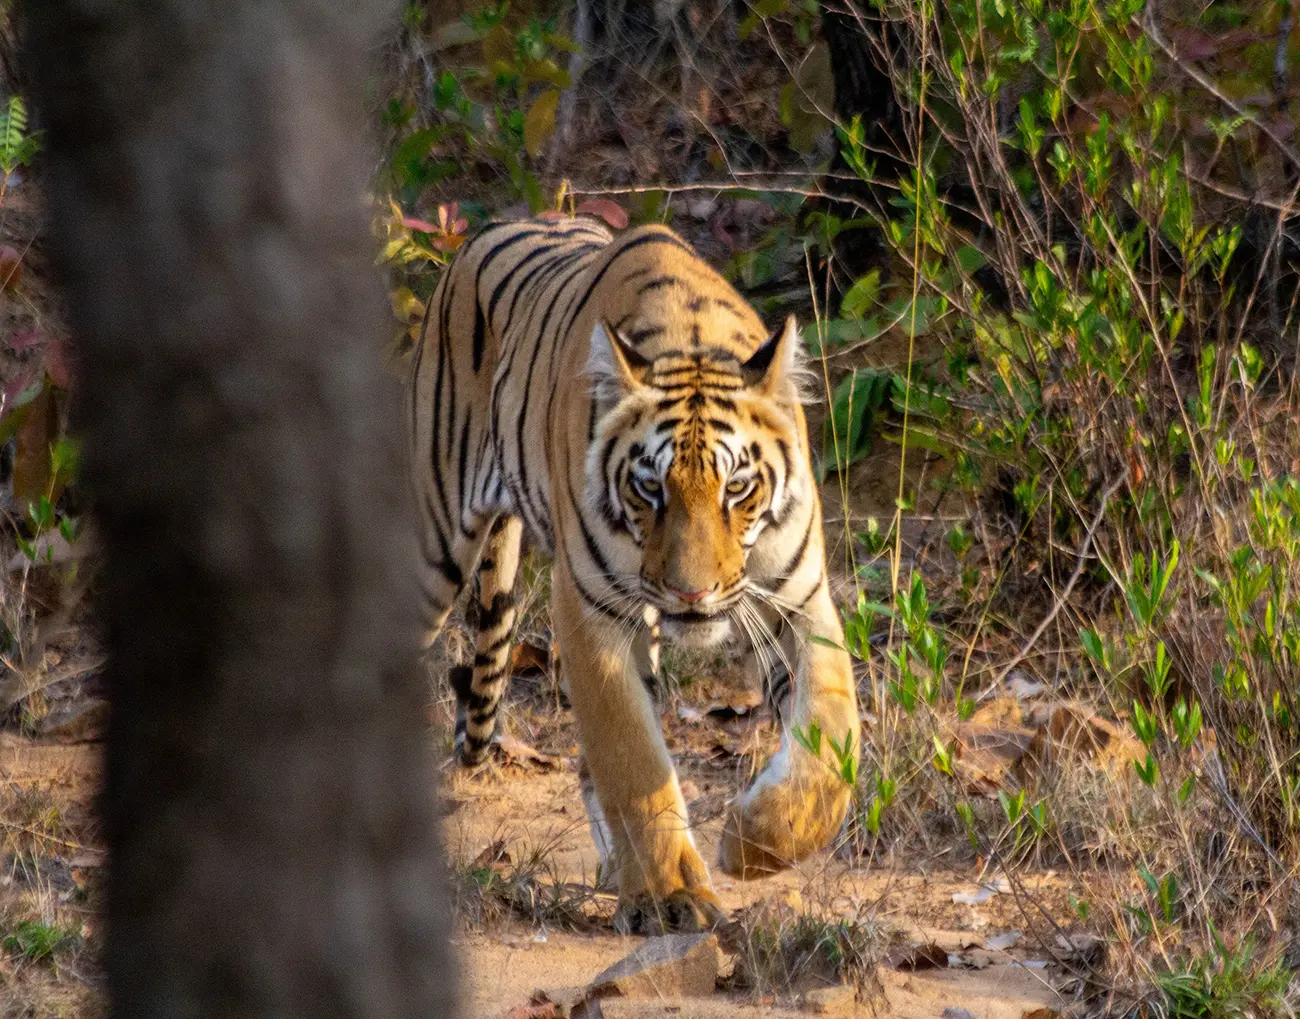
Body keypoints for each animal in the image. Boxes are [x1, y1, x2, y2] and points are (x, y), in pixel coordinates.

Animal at [413, 214, 863, 930]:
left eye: (737, 487)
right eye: (650, 488)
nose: (691, 592)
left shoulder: (799, 597)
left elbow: (832, 736)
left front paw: (755, 844)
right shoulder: (590, 609)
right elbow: (631, 756)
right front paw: (672, 896)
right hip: (434, 542)